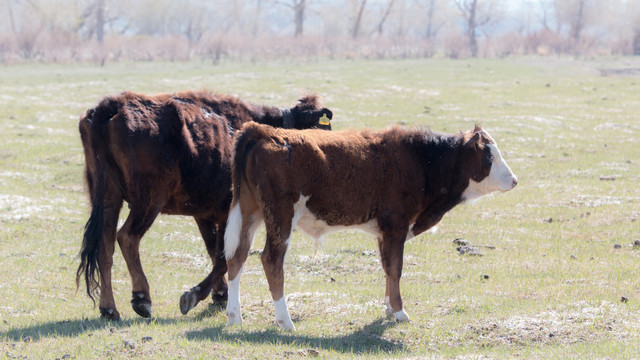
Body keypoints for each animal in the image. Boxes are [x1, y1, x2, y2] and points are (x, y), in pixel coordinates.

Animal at [77, 90, 332, 320]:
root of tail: (112, 106)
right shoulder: (230, 213)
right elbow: (224, 256)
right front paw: (196, 295)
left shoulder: (205, 214)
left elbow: (214, 250)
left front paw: (219, 293)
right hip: (148, 201)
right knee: (127, 237)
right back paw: (141, 298)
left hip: (109, 199)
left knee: (105, 246)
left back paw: (109, 309)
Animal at [222, 123, 516, 330]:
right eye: (489, 157)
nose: (514, 180)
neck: (422, 162)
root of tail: (265, 131)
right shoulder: (396, 226)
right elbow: (396, 268)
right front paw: (400, 312)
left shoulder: (384, 232)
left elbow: (387, 268)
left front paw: (388, 308)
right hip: (281, 216)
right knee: (271, 260)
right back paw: (285, 320)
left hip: (250, 213)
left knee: (237, 257)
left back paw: (235, 316)